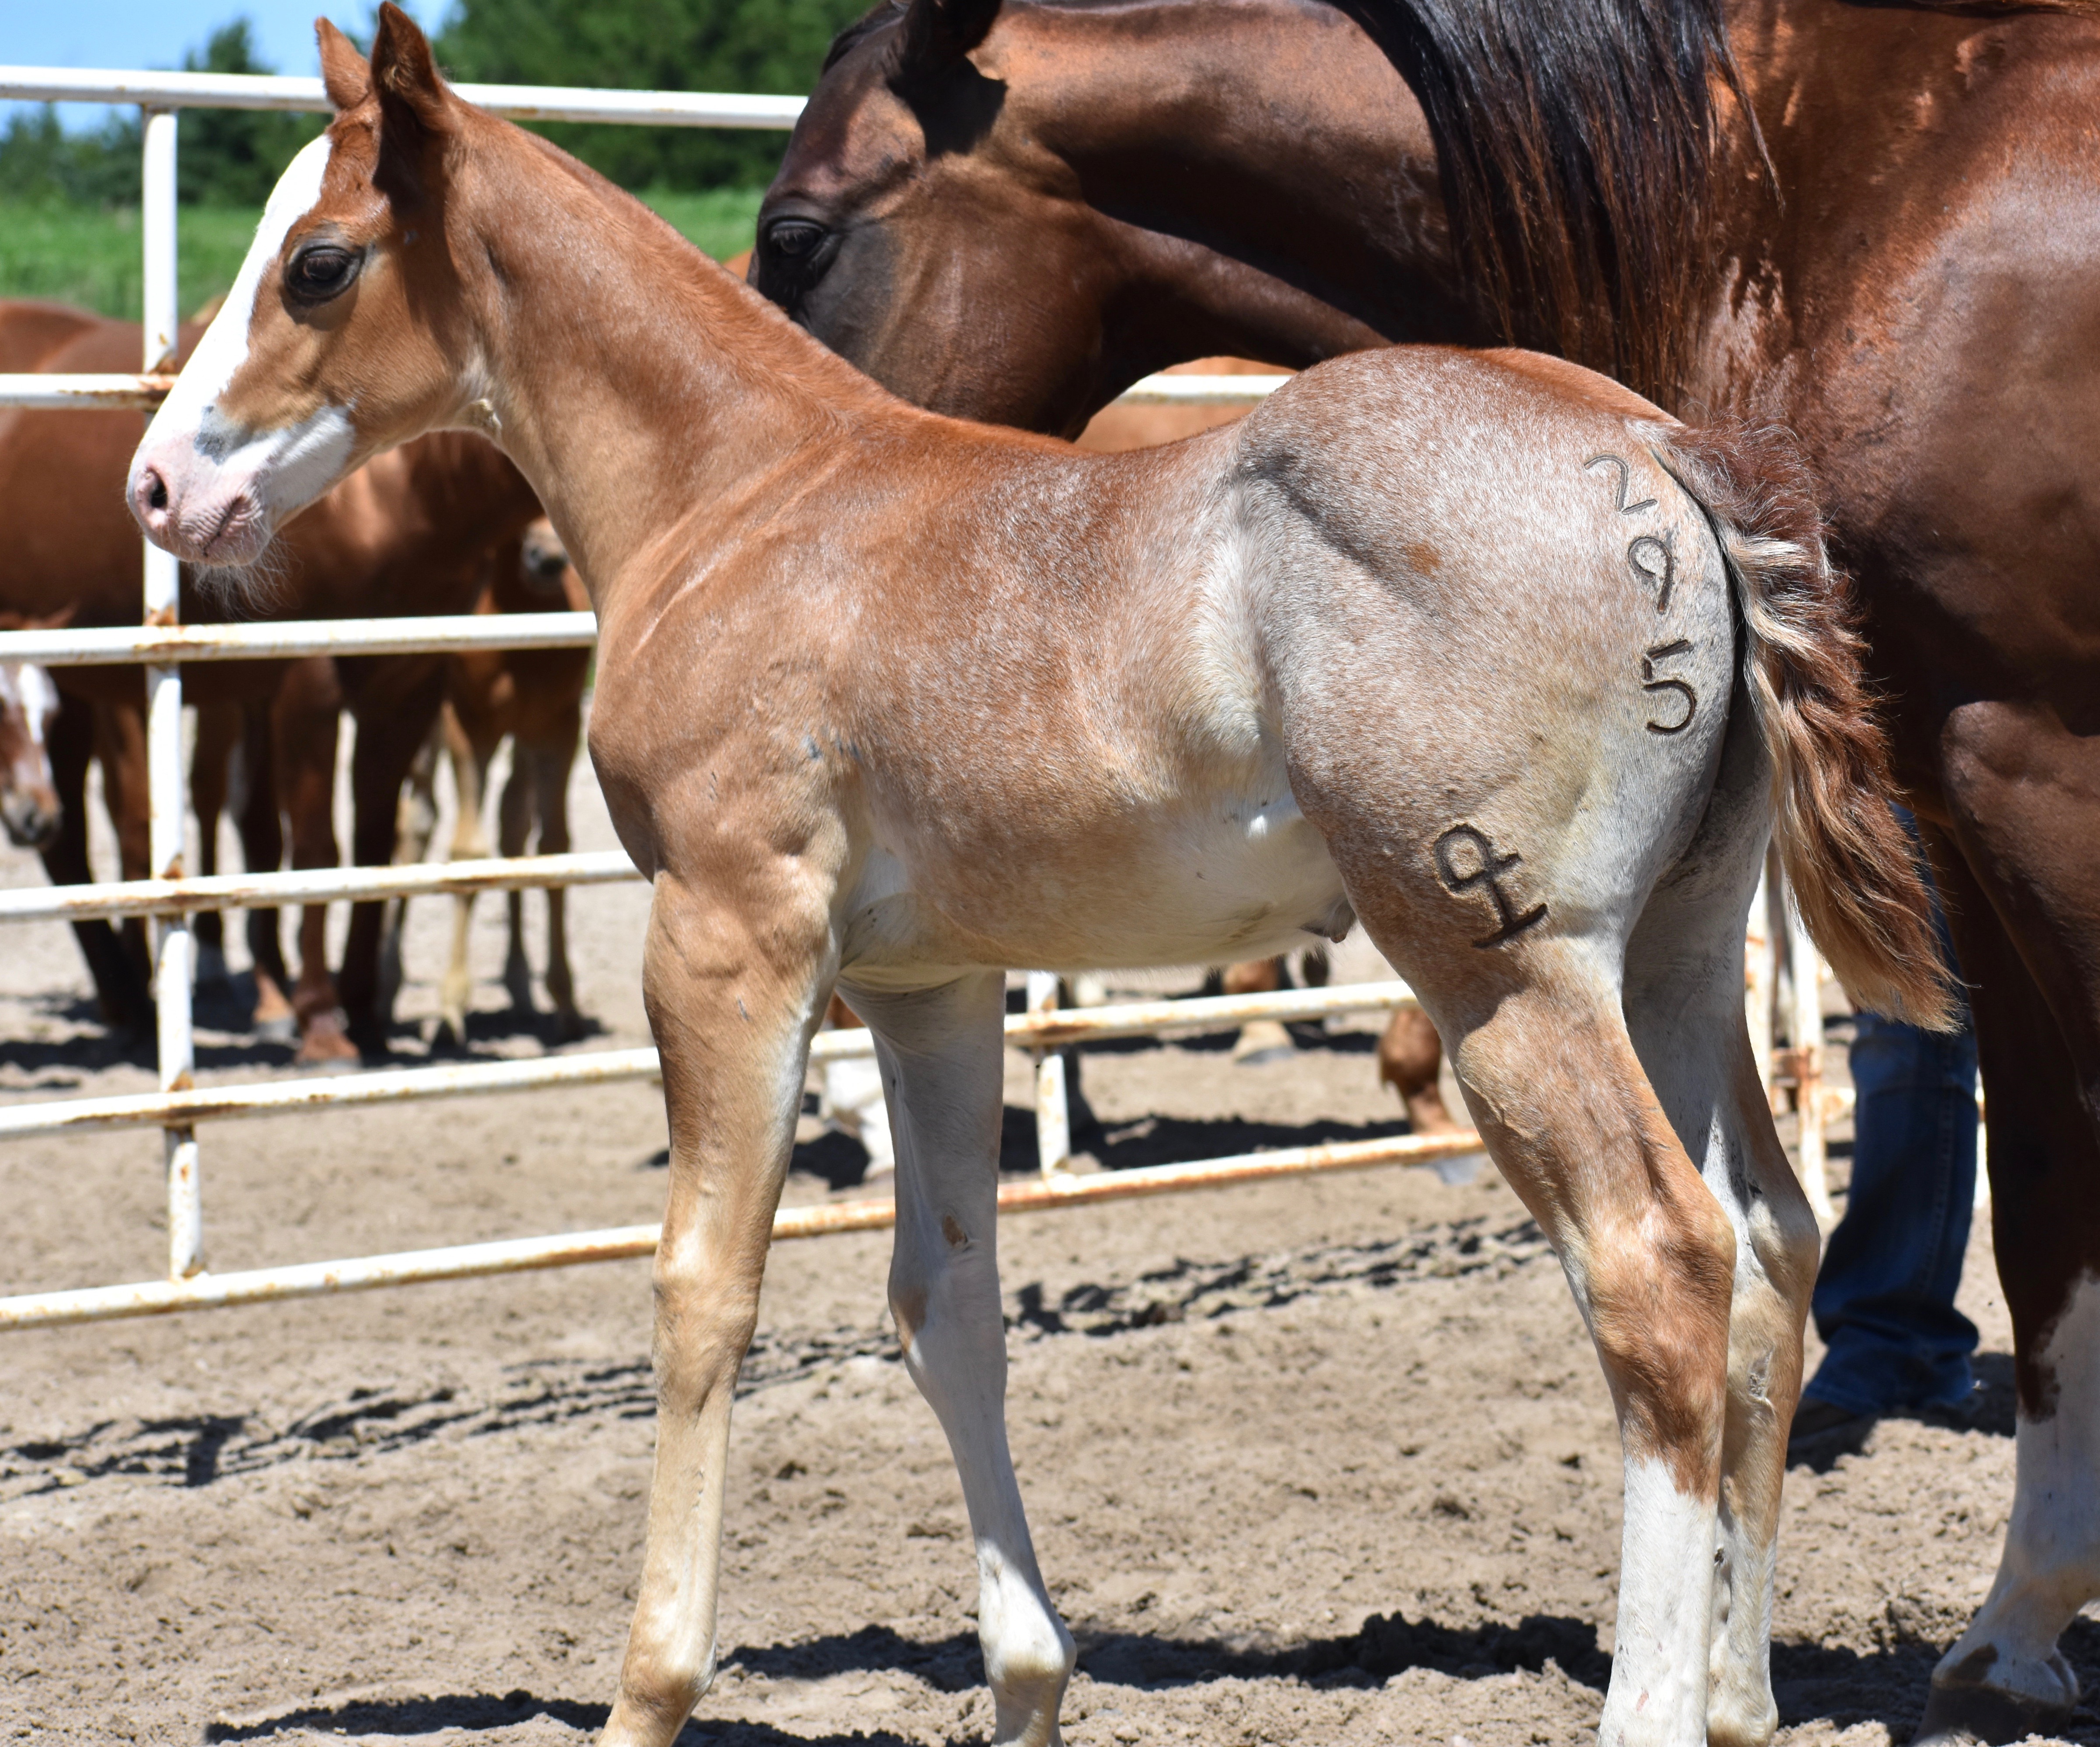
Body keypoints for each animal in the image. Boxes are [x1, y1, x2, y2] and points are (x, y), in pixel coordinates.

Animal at [127, 18, 1951, 1744]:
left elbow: (703, 1287)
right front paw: (1024, 1680)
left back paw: (1653, 1703)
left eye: (319, 261)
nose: (162, 485)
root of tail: (1659, 450)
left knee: (1656, 1260)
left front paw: (648, 1689)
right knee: (1770, 1237)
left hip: (1502, 966)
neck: (740, 493)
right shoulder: (930, 983)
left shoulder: (729, 942)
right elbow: (948, 1298)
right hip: (1678, 951)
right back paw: (1738, 1693)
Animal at [754, 2, 2100, 1734]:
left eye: (797, 234)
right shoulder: (1945, 786)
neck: (1816, 193)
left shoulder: (2027, 762)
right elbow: (2034, 1188)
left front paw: (2021, 1613)